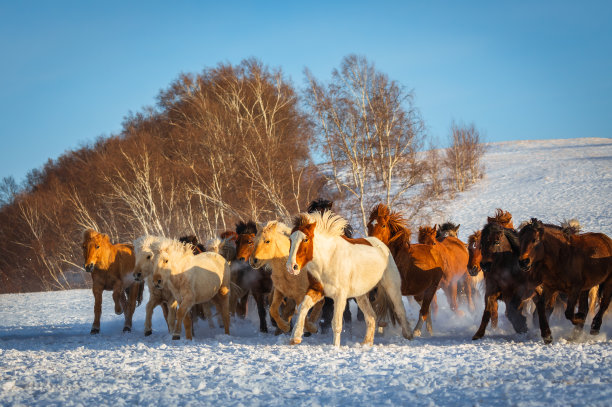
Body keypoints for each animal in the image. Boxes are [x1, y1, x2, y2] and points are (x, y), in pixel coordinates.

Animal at [286, 210, 412, 348]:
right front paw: (295, 338)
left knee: (400, 310)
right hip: (361, 295)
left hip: (391, 287)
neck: (328, 260)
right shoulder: (317, 290)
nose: (292, 267)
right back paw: (366, 343)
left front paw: (335, 347)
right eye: (290, 239)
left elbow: (336, 323)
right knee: (371, 317)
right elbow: (302, 308)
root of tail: (381, 245)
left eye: (305, 239)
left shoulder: (340, 295)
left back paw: (409, 336)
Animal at [366, 204, 442, 338]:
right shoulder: (380, 288)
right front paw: (381, 328)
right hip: (418, 292)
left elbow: (393, 309)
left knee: (424, 310)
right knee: (427, 309)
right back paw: (429, 331)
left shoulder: (395, 289)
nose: (372, 242)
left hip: (431, 289)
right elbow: (380, 306)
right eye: (368, 225)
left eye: (383, 225)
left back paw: (417, 331)